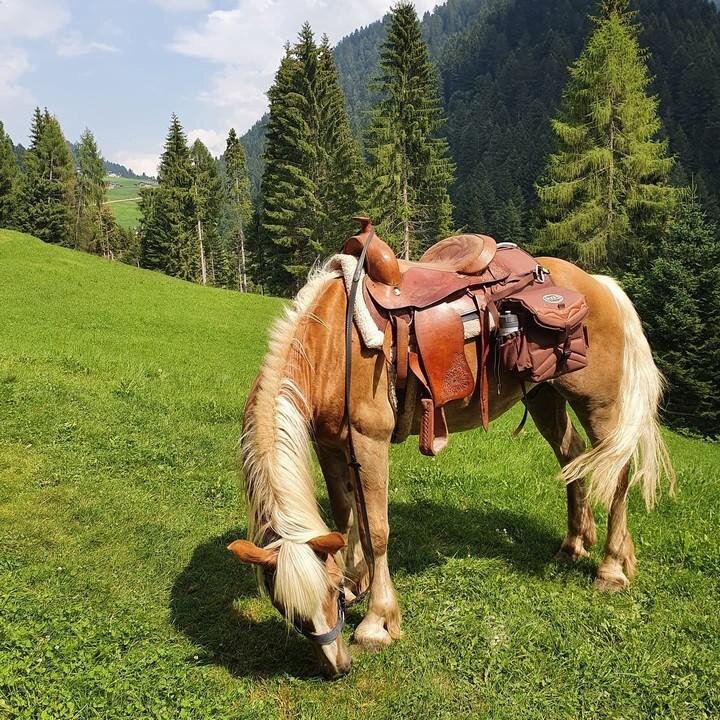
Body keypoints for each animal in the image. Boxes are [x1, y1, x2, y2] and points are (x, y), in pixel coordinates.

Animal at [227, 252, 674, 679]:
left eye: (329, 594)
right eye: (286, 609)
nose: (336, 667)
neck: (332, 346)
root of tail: (598, 284)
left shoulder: (368, 439)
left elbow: (377, 531)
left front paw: (376, 622)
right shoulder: (331, 444)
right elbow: (346, 516)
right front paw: (358, 582)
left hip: (598, 403)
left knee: (617, 474)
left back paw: (611, 568)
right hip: (543, 396)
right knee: (572, 458)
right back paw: (574, 544)